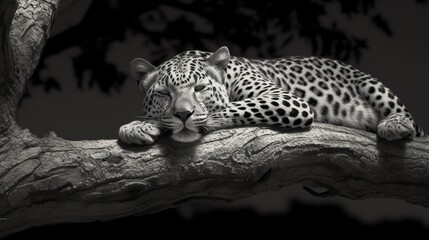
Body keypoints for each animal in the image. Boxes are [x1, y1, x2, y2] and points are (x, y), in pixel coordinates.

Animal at [118, 46, 422, 144]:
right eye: (163, 93)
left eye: (200, 88)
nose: (183, 113)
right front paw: (141, 125)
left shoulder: (288, 100)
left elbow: (226, 110)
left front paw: (145, 124)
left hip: (371, 84)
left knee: (408, 118)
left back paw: (396, 124)